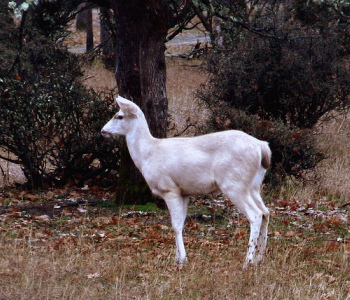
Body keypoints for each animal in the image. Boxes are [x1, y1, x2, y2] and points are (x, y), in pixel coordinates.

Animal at [100, 96, 270, 268]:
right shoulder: (184, 192)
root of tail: (262, 148)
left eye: (119, 116)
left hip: (234, 183)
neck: (148, 153)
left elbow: (175, 225)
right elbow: (181, 223)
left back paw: (248, 261)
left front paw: (181, 260)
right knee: (266, 212)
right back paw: (259, 258)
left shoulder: (169, 188)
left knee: (255, 214)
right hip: (253, 185)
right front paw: (178, 258)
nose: (103, 130)